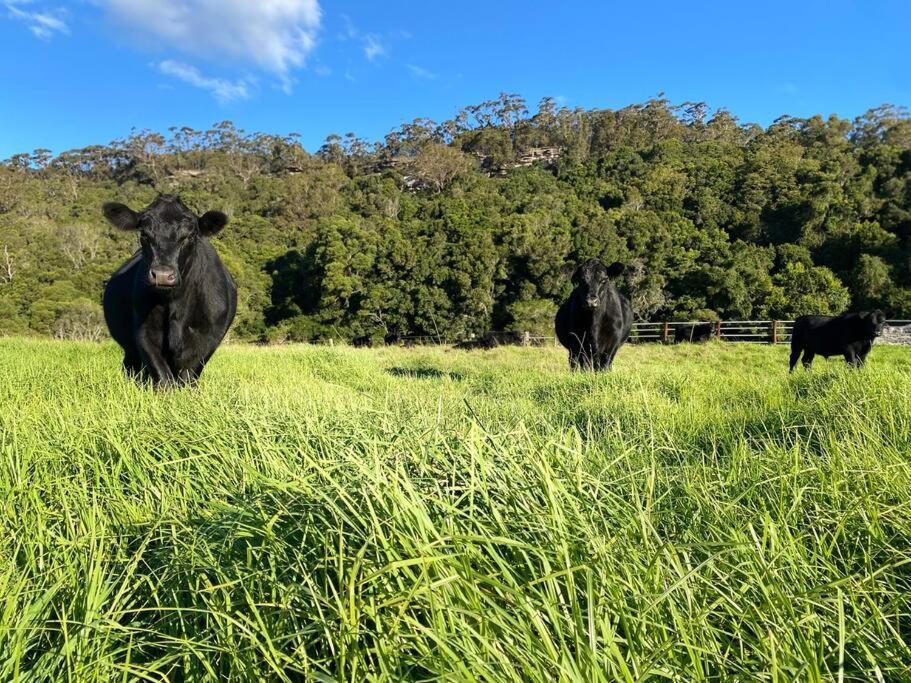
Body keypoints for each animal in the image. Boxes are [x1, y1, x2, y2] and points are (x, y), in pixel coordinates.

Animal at [102, 195, 237, 388]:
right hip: (130, 350)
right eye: (144, 234)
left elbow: (188, 376)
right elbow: (163, 378)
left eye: (189, 236)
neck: (176, 305)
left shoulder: (209, 338)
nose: (163, 275)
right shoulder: (143, 333)